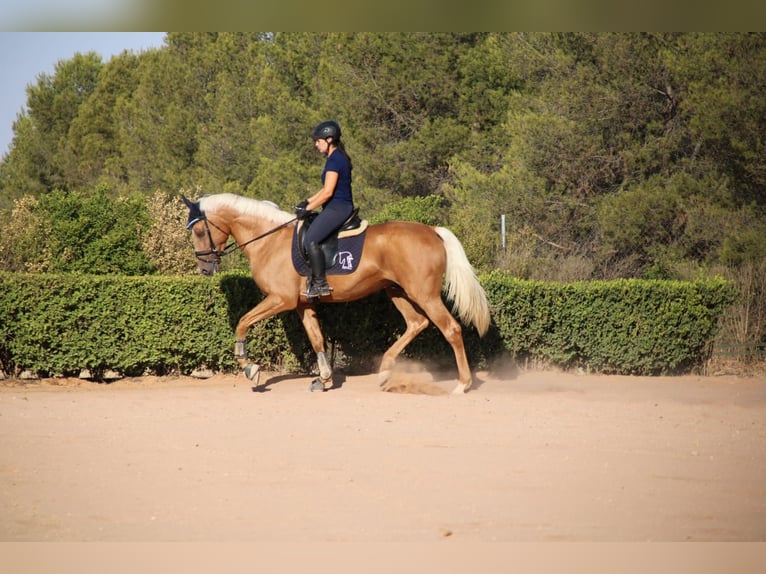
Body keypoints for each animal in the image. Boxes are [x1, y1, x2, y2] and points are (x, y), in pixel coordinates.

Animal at [183, 194, 488, 396]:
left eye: (198, 230)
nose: (204, 268)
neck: (269, 240)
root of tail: (433, 231)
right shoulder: (302, 304)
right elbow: (316, 339)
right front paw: (325, 378)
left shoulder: (280, 300)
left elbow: (243, 322)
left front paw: (250, 368)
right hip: (397, 291)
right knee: (417, 323)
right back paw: (385, 372)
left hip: (424, 294)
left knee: (450, 328)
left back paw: (462, 384)